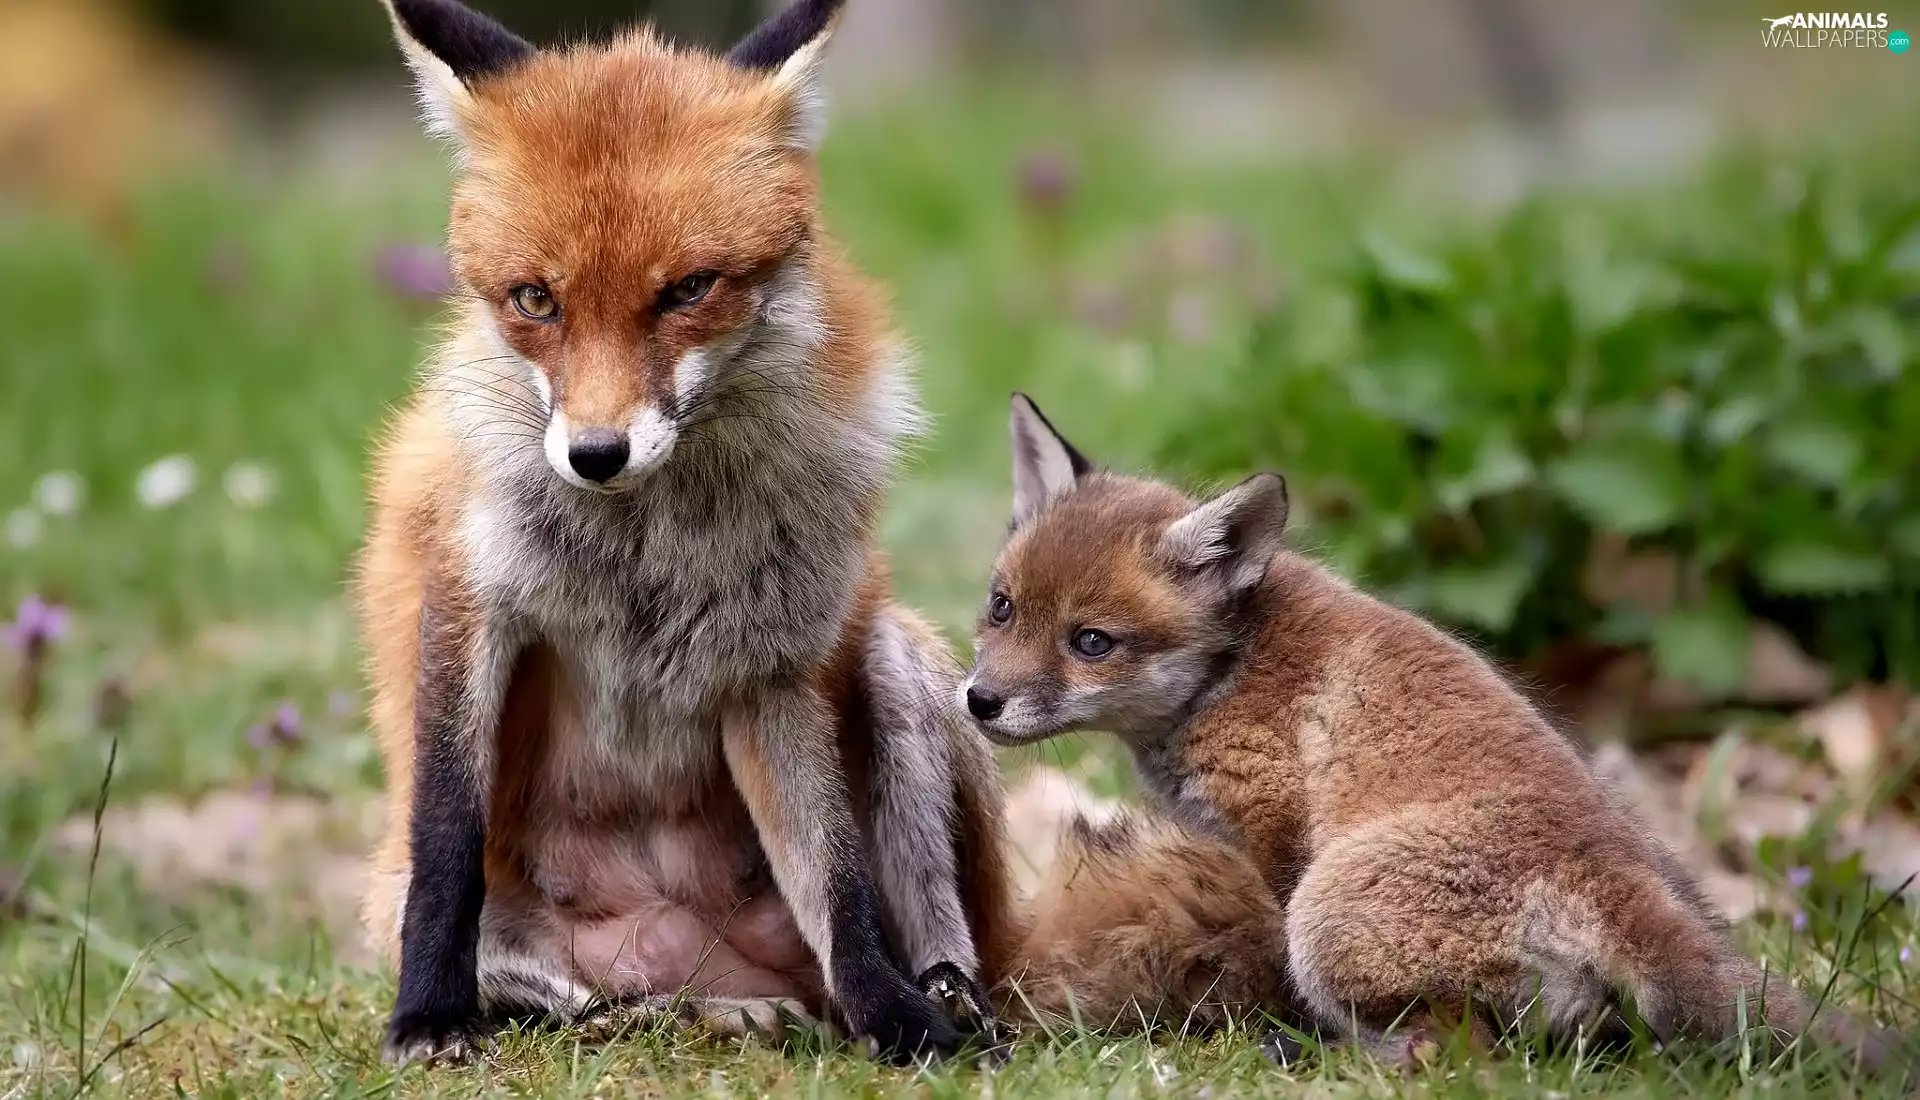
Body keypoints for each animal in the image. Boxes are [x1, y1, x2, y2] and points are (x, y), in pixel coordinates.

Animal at [356, 0, 1289, 1067]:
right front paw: (429, 1014)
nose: (595, 454)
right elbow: (447, 841)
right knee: (596, 998)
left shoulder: (772, 666)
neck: (646, 551)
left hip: (904, 667)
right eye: (534, 300)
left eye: (688, 290)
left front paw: (901, 1023)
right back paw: (682, 1012)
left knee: (928, 941)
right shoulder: (471, 608)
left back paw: (937, 1004)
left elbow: (838, 885)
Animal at [958, 393, 1909, 1072]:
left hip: (1326, 917)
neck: (1227, 672)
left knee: (1451, 1053)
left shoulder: (1275, 838)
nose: (978, 701)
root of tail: (1606, 871)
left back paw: (1321, 1053)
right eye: (1001, 608)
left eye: (1090, 642)